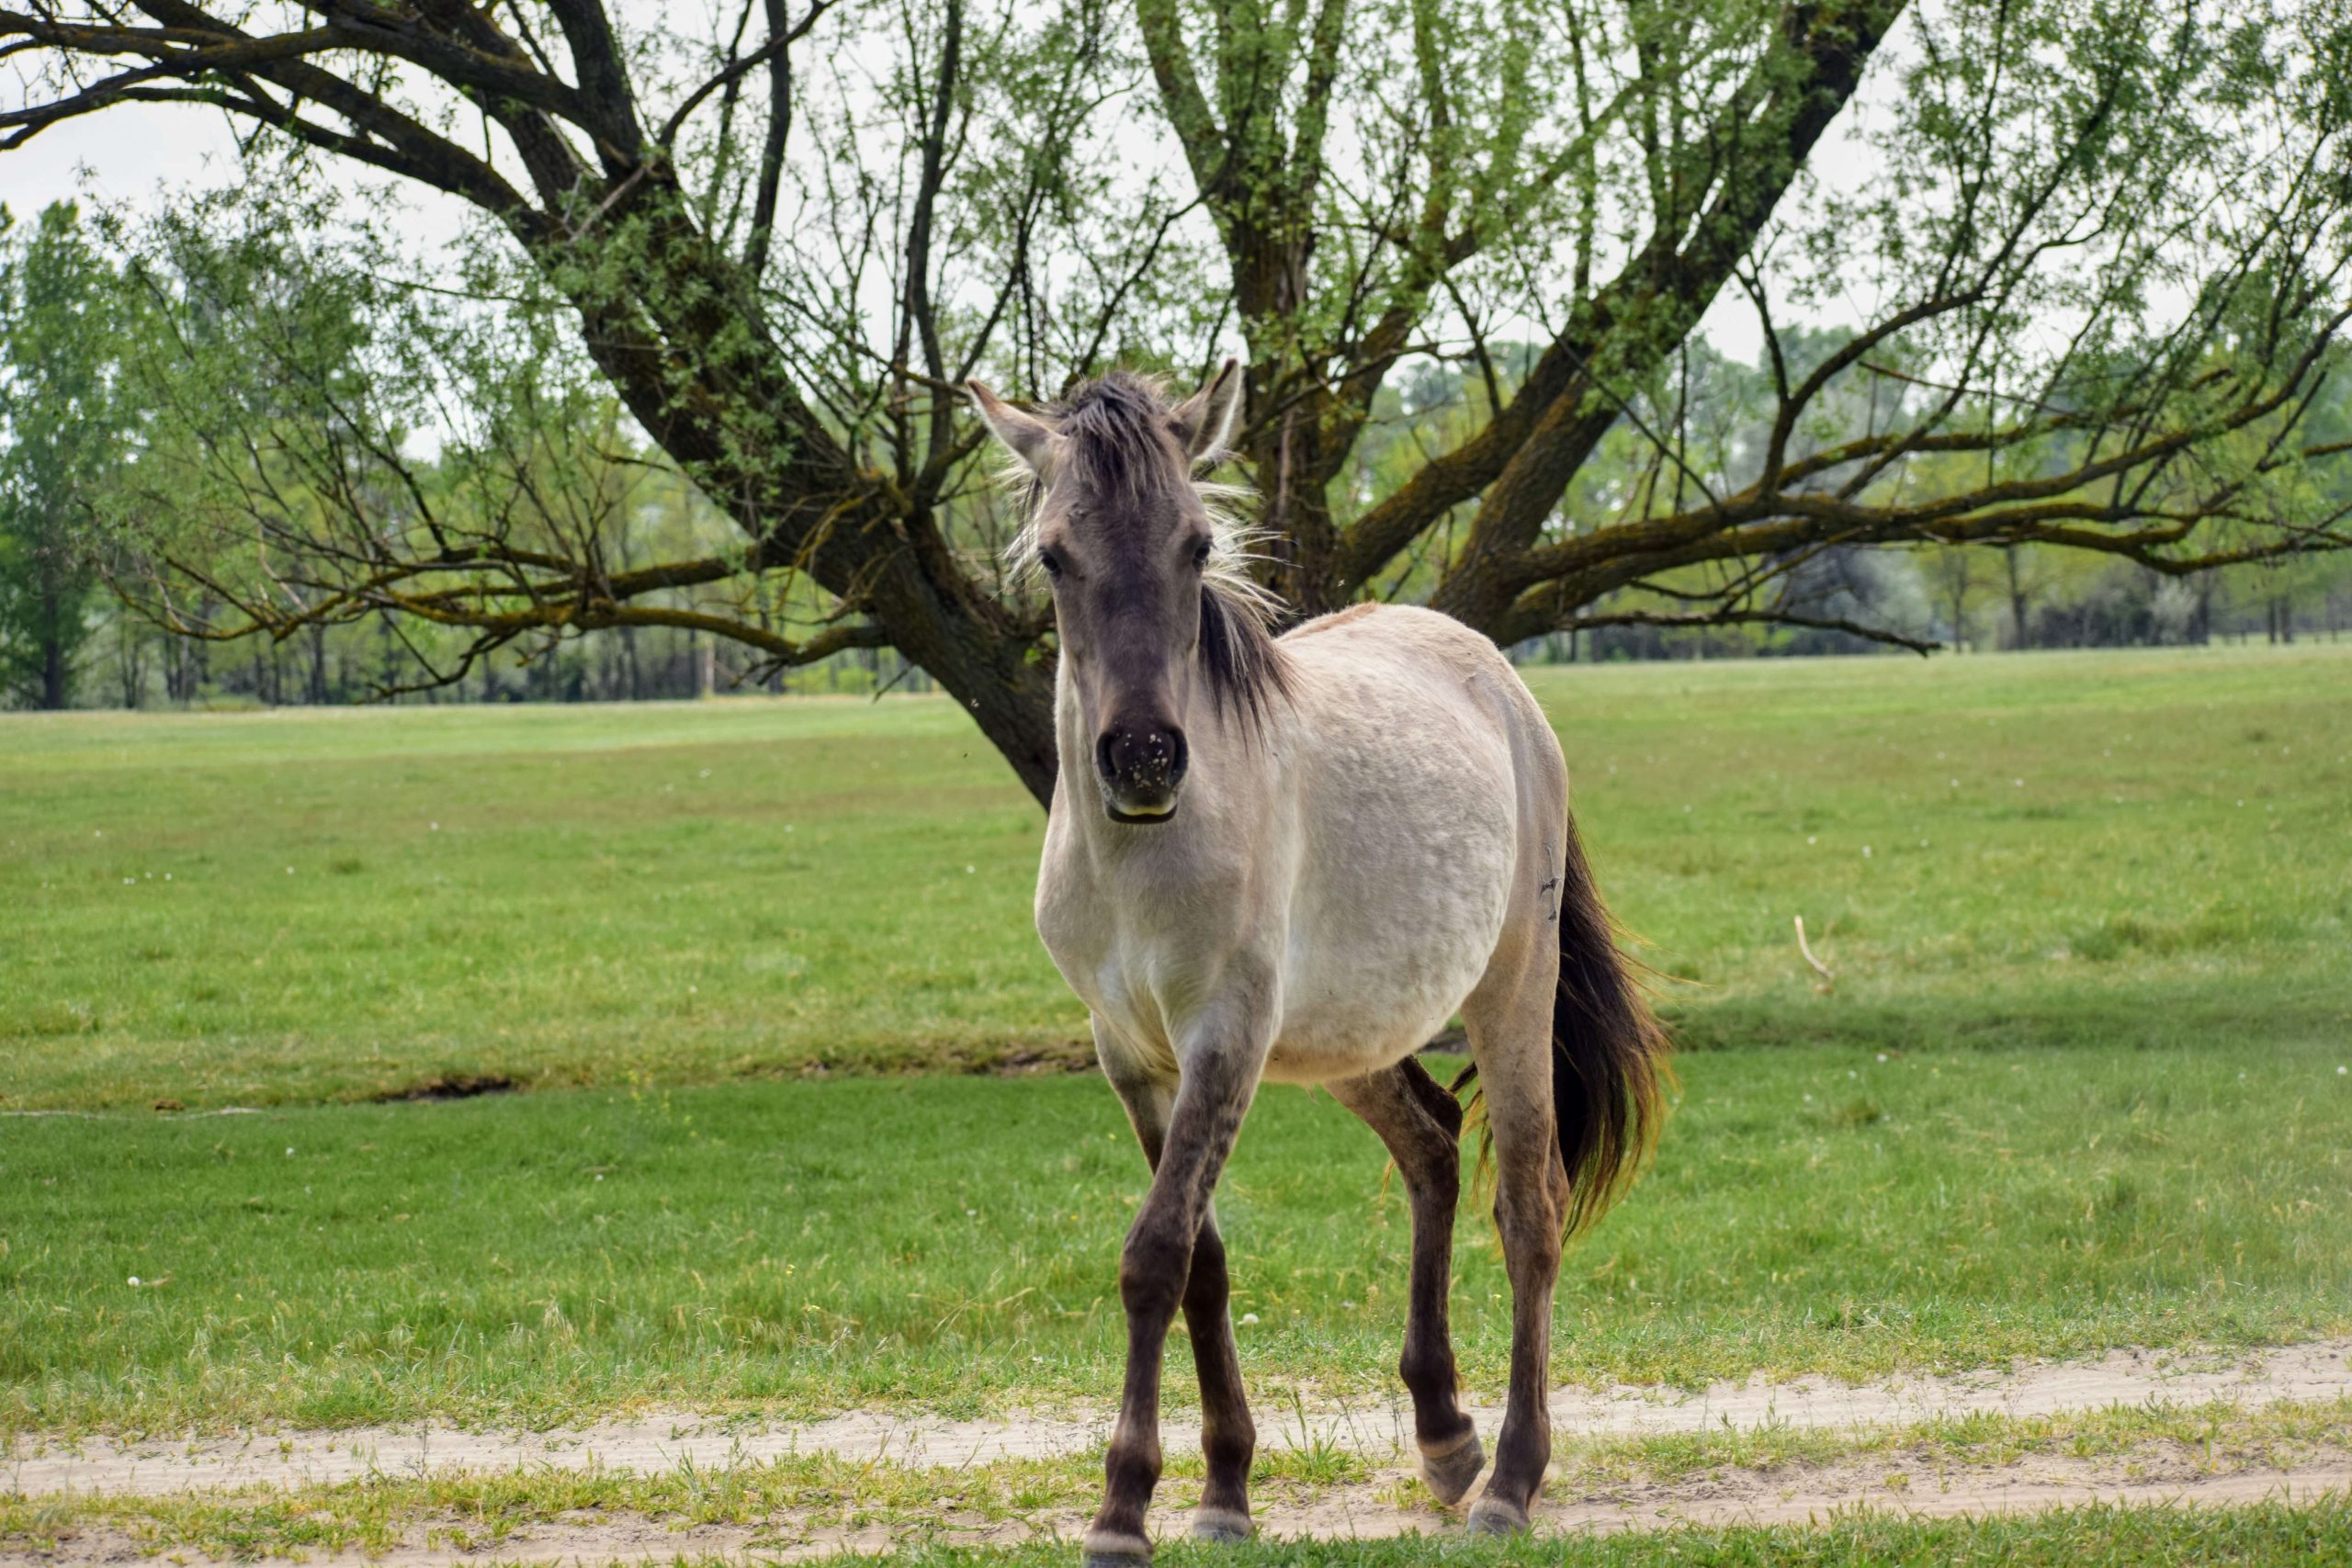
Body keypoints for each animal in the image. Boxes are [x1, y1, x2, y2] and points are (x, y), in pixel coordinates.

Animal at [964, 362, 1665, 1561]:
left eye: (1198, 543)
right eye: (1055, 554)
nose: (1143, 757)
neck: (1145, 853)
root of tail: (1501, 683)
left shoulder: (1225, 1038)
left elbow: (1155, 1254)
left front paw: (1123, 1507)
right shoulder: (1134, 1058)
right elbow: (1201, 1264)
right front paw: (1222, 1491)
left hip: (1510, 993)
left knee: (1530, 1205)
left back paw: (1510, 1481)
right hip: (1349, 1038)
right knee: (1431, 1144)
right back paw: (1444, 1438)